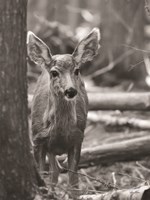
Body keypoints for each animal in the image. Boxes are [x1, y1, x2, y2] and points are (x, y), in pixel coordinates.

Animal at [27, 27, 99, 195]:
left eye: (77, 70)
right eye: (54, 72)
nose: (71, 90)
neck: (59, 133)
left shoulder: (78, 138)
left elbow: (74, 183)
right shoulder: (37, 139)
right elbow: (43, 175)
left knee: (56, 171)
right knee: (54, 171)